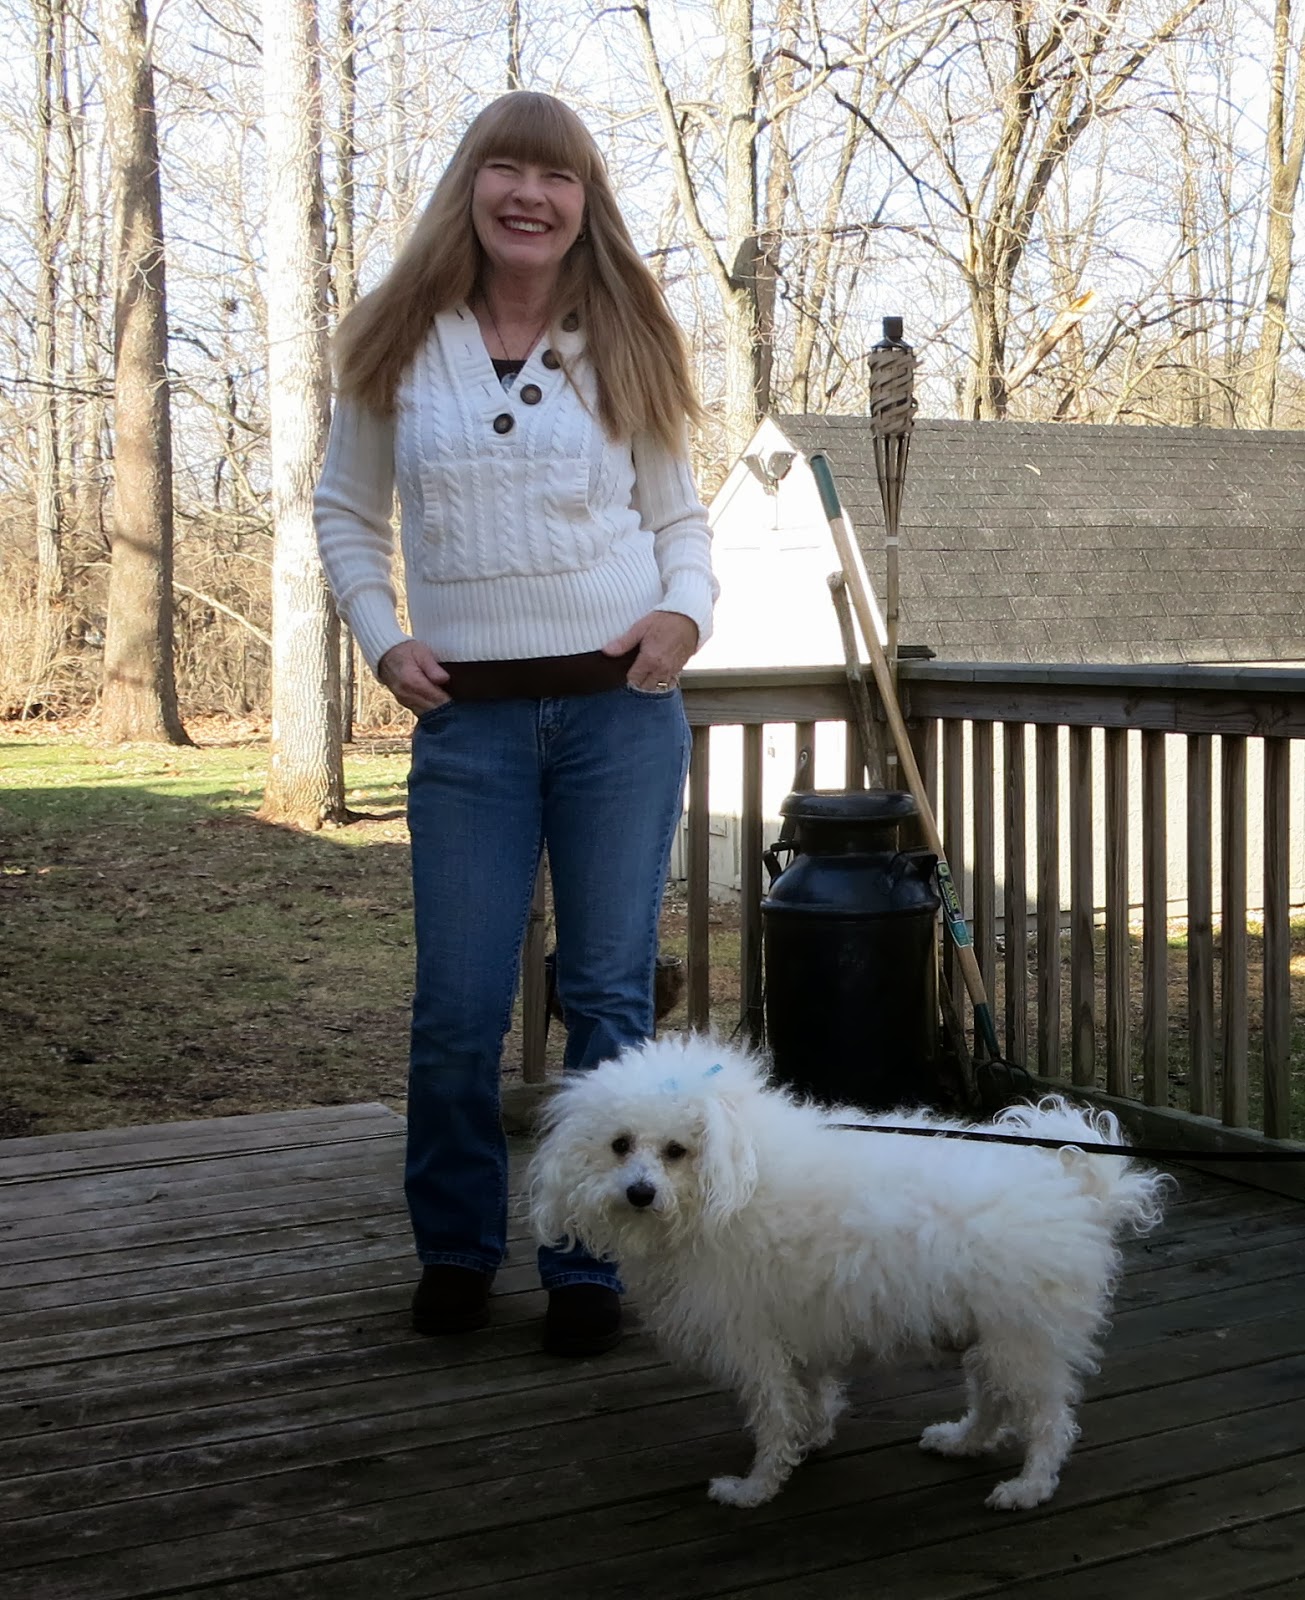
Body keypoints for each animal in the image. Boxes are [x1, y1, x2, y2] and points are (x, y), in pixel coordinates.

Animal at [528, 1033, 1171, 1512]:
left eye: (675, 1151)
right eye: (619, 1145)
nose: (638, 1192)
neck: (734, 1183)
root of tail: (1076, 1182)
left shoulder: (756, 1346)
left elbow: (774, 1419)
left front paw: (755, 1488)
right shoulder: (796, 1334)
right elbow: (808, 1399)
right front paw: (811, 1440)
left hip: (1023, 1336)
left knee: (1047, 1421)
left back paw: (1028, 1487)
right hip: (993, 1331)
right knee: (993, 1402)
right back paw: (962, 1441)